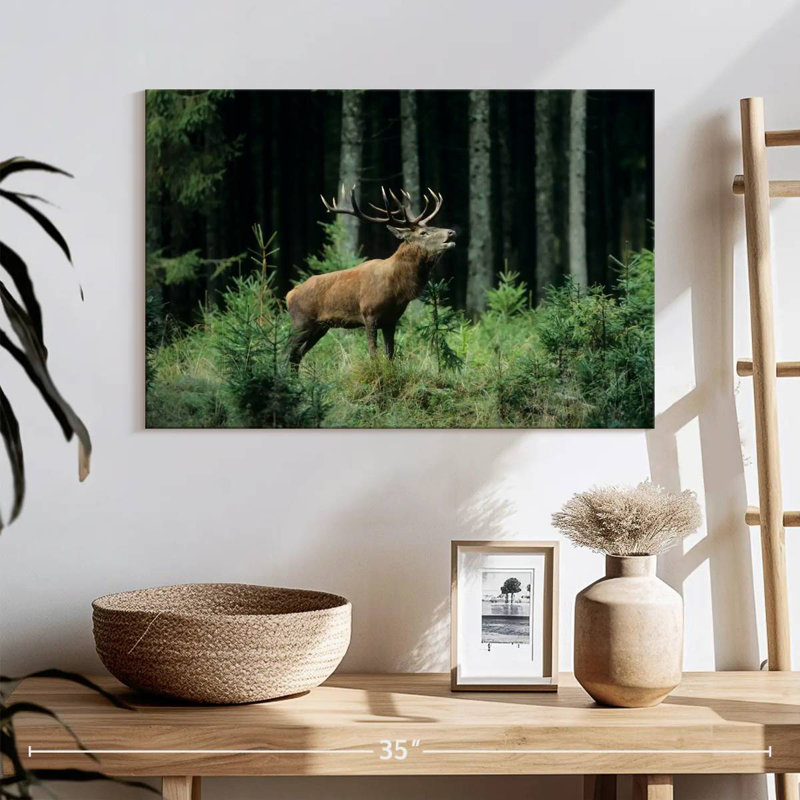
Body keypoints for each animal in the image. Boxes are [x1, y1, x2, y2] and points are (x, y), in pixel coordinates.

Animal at [285, 186, 456, 365]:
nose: (451, 232)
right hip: (301, 322)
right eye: (423, 232)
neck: (398, 289)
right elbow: (373, 354)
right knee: (287, 352)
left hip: (319, 327)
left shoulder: (391, 320)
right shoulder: (369, 314)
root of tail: (289, 295)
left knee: (297, 355)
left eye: (433, 226)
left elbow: (390, 355)